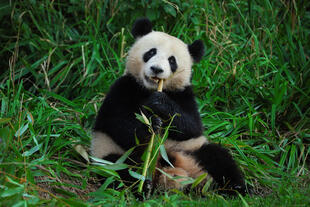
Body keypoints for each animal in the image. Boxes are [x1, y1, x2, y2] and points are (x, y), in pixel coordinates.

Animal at [92, 17, 247, 196]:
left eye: (172, 60)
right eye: (151, 52)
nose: (157, 69)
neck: (149, 89)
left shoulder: (184, 95)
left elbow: (192, 126)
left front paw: (160, 104)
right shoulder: (124, 87)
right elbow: (116, 122)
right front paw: (151, 126)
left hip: (192, 149)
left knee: (219, 158)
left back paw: (236, 188)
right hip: (113, 152)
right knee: (118, 168)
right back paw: (142, 186)